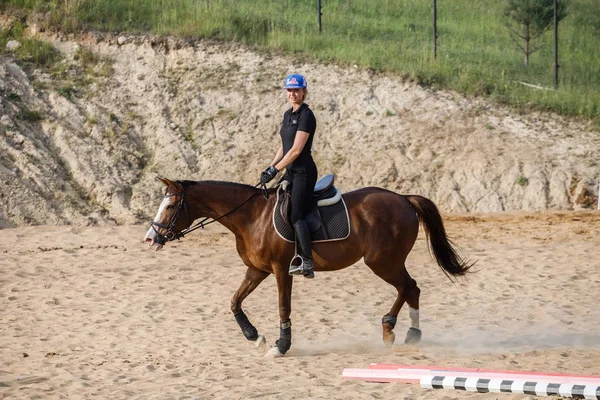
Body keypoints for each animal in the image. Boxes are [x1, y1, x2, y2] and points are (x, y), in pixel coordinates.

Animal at [143, 177, 472, 356]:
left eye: (170, 206)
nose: (151, 238)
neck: (251, 216)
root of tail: (403, 198)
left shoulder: (280, 270)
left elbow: (283, 307)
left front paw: (281, 346)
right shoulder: (257, 270)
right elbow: (235, 301)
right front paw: (255, 336)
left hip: (382, 262)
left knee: (408, 287)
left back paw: (390, 329)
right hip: (387, 262)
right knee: (412, 289)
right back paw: (412, 334)